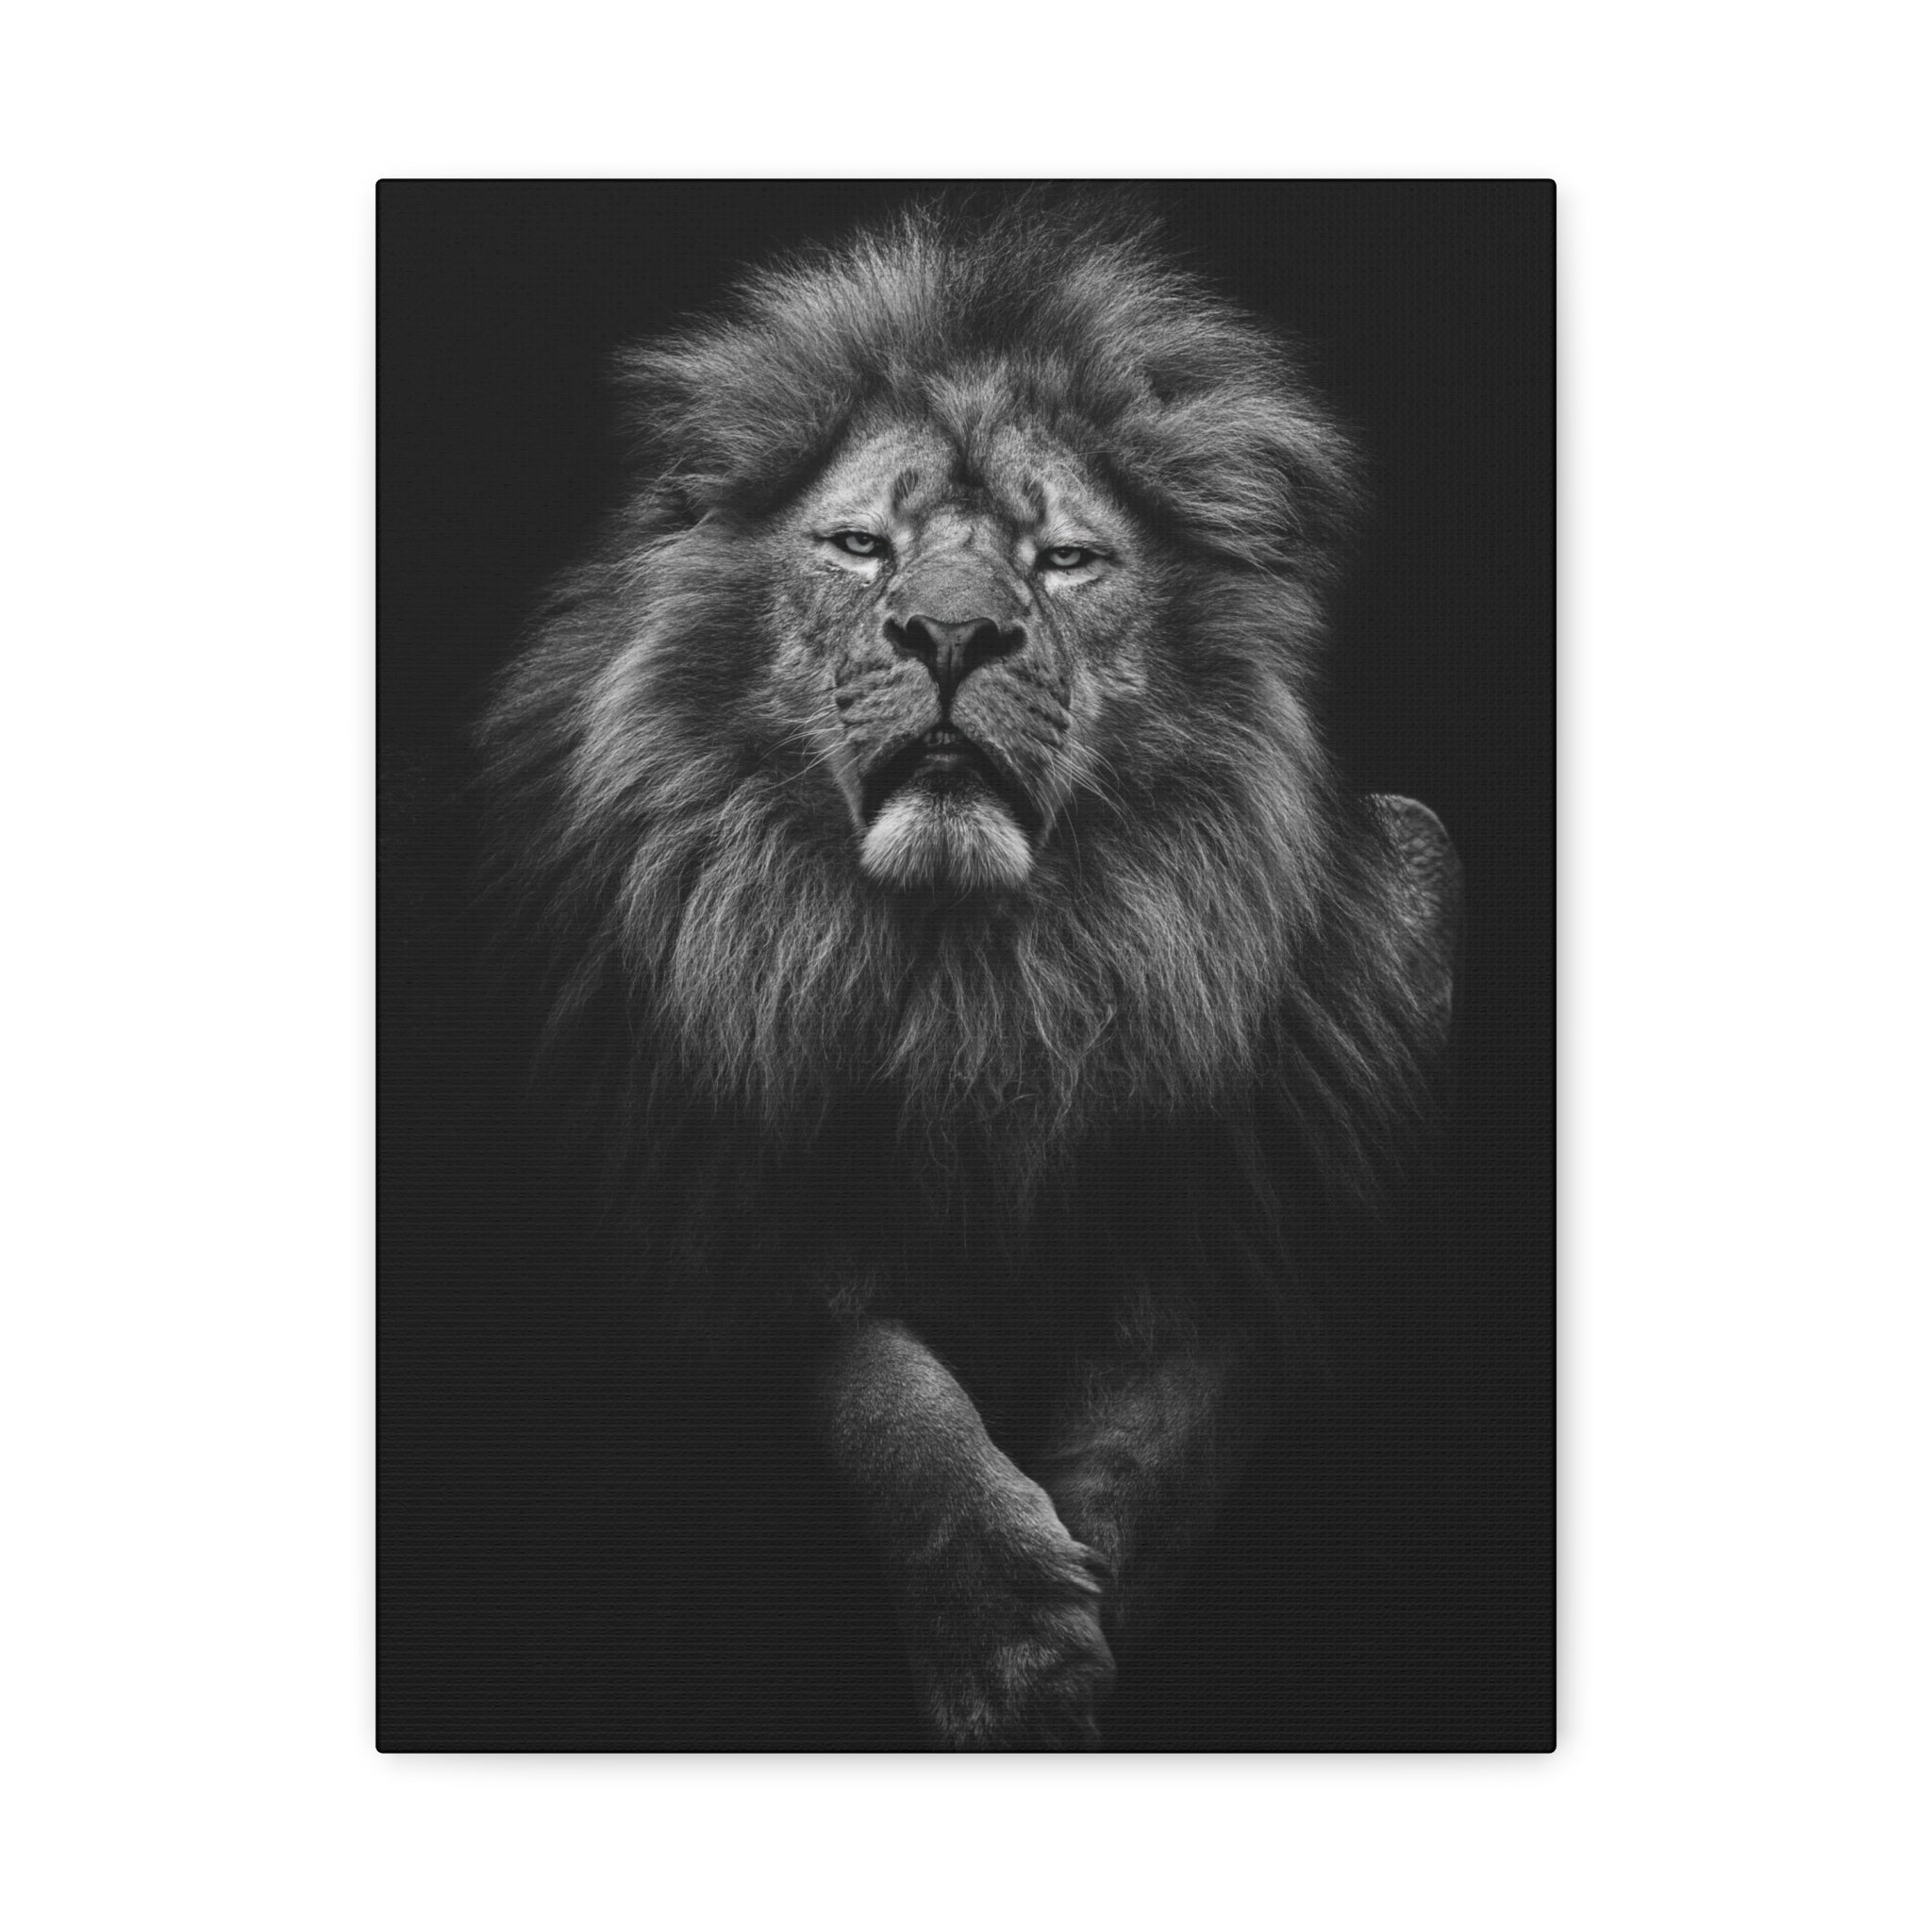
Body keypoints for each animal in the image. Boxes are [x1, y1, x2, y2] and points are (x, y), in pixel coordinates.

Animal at [477, 197, 1459, 1750]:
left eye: (1063, 562)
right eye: (859, 545)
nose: (950, 634)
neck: (973, 976)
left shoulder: (1282, 1171)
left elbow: (1191, 1386)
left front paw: (1099, 1573)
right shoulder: (706, 1192)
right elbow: (880, 1386)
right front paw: (1009, 1639)